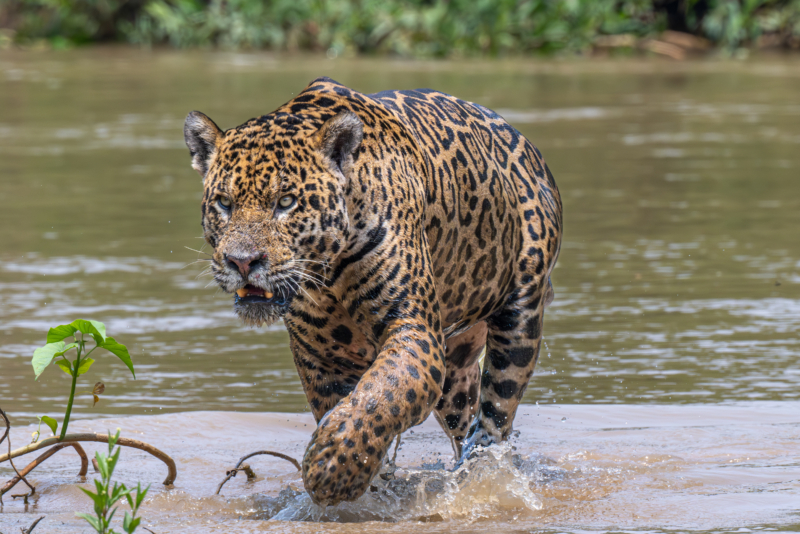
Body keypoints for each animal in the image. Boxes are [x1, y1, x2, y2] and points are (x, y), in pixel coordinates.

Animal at [183, 77, 562, 506]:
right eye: (223, 203)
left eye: (286, 201)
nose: (243, 262)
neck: (328, 271)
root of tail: (523, 142)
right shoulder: (321, 354)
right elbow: (349, 403)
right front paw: (365, 482)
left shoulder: (414, 327)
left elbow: (384, 392)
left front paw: (331, 466)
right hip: (455, 363)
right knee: (463, 416)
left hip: (520, 317)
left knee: (495, 417)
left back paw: (482, 473)